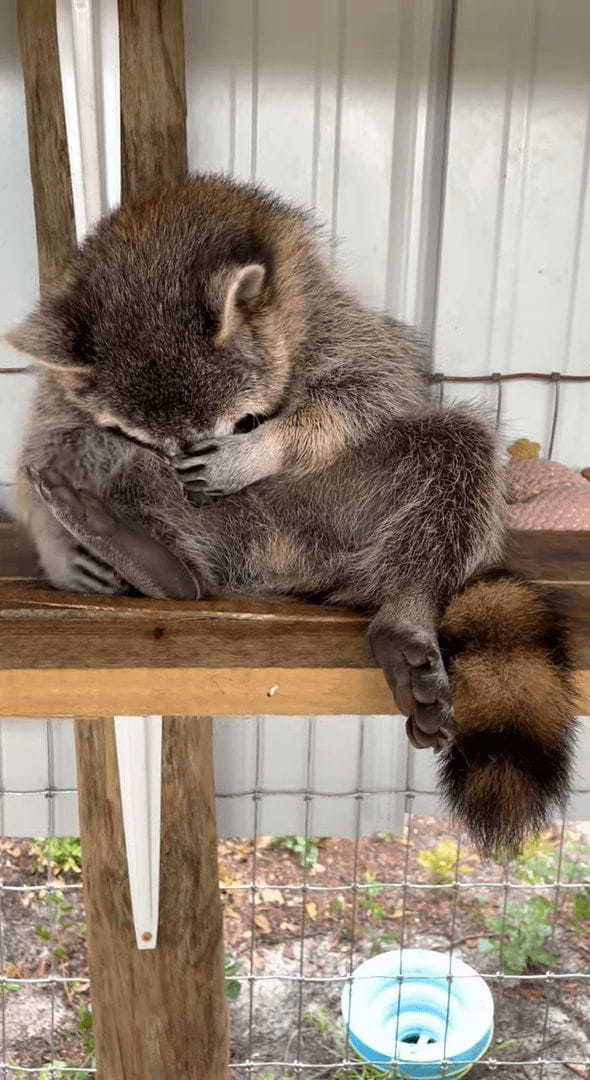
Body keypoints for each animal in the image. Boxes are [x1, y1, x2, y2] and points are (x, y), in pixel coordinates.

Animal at [6, 174, 570, 851]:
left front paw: (263, 447)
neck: (156, 243)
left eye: (243, 423)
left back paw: (407, 604)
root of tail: (280, 560)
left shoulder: (315, 304)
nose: (192, 483)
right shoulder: (71, 383)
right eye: (155, 441)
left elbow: (372, 385)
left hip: (346, 505)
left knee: (457, 445)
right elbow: (47, 436)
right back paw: (149, 557)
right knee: (84, 450)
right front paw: (56, 546)